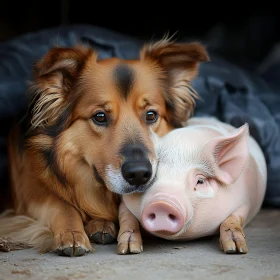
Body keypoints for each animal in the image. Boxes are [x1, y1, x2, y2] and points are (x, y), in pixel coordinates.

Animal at [0, 37, 208, 256]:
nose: (139, 174)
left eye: (151, 115)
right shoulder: (30, 191)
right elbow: (61, 205)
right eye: (100, 116)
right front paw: (72, 233)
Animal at [117, 117, 266, 255]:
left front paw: (235, 249)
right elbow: (127, 218)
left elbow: (232, 219)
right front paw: (129, 250)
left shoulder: (245, 202)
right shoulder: (124, 203)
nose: (162, 204)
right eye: (152, 176)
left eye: (200, 181)